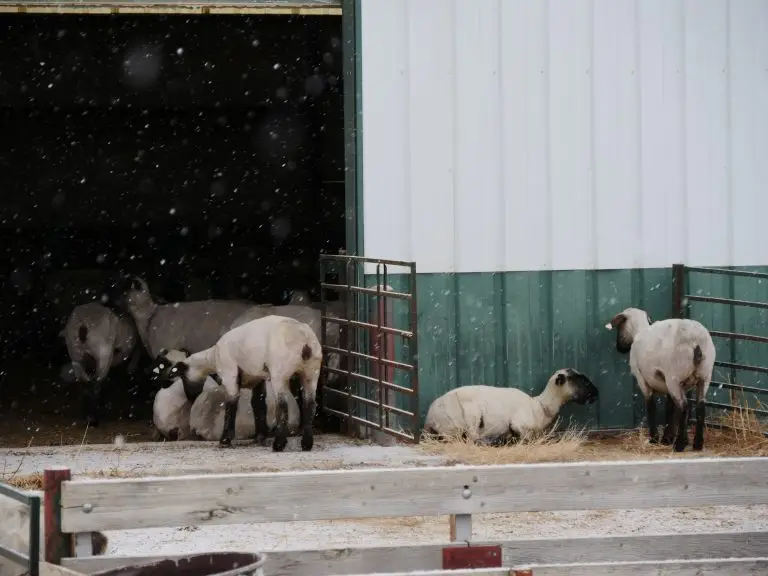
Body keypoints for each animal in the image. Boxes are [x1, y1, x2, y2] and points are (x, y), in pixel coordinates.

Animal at [161, 315, 323, 452]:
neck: (212, 356)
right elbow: (258, 404)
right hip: (312, 372)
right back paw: (307, 444)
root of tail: (305, 341)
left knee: (283, 406)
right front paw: (260, 437)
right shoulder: (257, 378)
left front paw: (225, 440)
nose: (191, 397)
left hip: (280, 372)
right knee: (310, 405)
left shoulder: (229, 373)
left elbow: (231, 405)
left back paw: (279, 444)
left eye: (182, 377)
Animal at [424, 369, 599, 445]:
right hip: (467, 419)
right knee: (472, 439)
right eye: (582, 381)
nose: (596, 394)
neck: (539, 407)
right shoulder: (519, 424)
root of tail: (429, 418)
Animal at [606, 307, 716, 452]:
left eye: (619, 326)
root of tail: (696, 341)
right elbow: (670, 407)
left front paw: (655, 439)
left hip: (674, 376)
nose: (620, 348)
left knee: (684, 406)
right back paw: (697, 444)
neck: (638, 331)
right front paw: (667, 438)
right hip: (704, 376)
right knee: (699, 406)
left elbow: (651, 406)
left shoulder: (642, 380)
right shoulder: (675, 385)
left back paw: (679, 445)